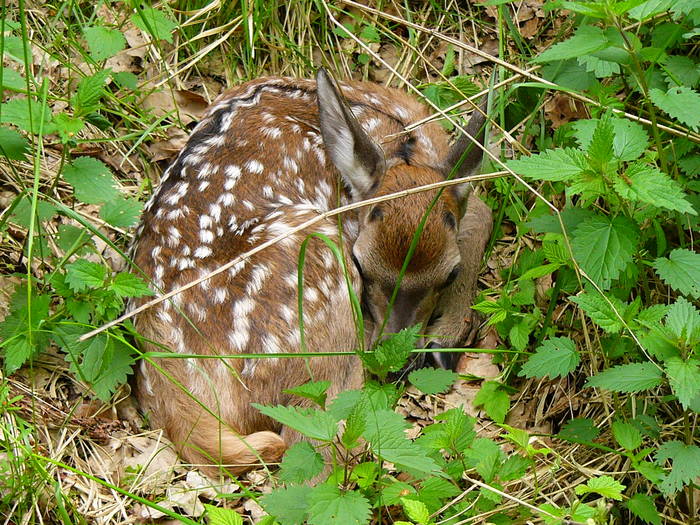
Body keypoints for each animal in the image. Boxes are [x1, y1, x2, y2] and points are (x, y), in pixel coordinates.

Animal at [130, 68, 492, 474]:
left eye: (450, 274)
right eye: (362, 263)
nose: (394, 363)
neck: (402, 142)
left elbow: (481, 208)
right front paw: (447, 337)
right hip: (314, 268)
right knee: (314, 441)